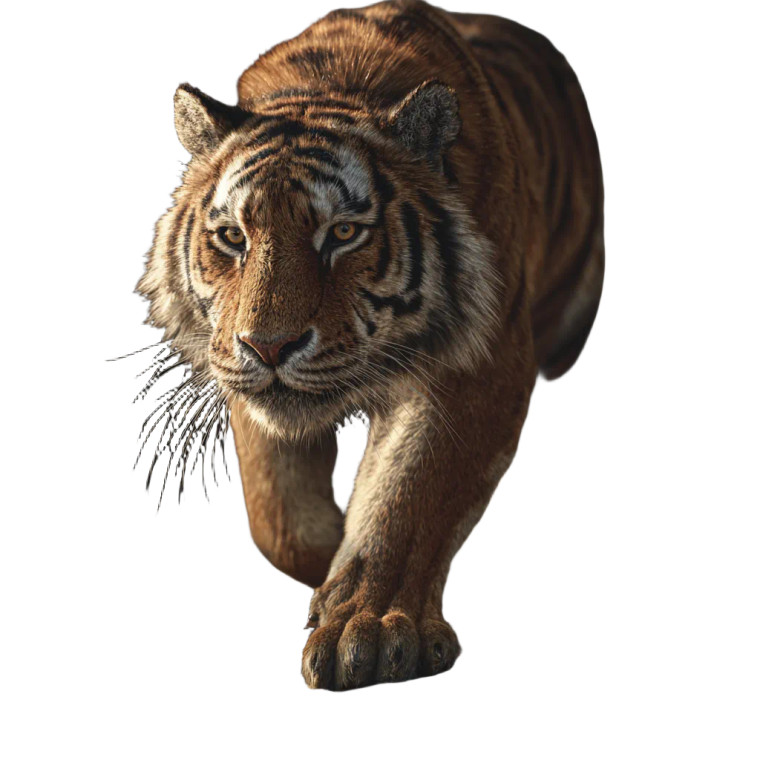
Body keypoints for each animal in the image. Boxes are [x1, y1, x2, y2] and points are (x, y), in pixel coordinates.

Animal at [136, 0, 604, 690]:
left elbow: (410, 496)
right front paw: (332, 569)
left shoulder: (478, 363)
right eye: (233, 237)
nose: (268, 347)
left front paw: (373, 633)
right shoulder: (239, 375)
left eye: (344, 233)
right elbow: (279, 519)